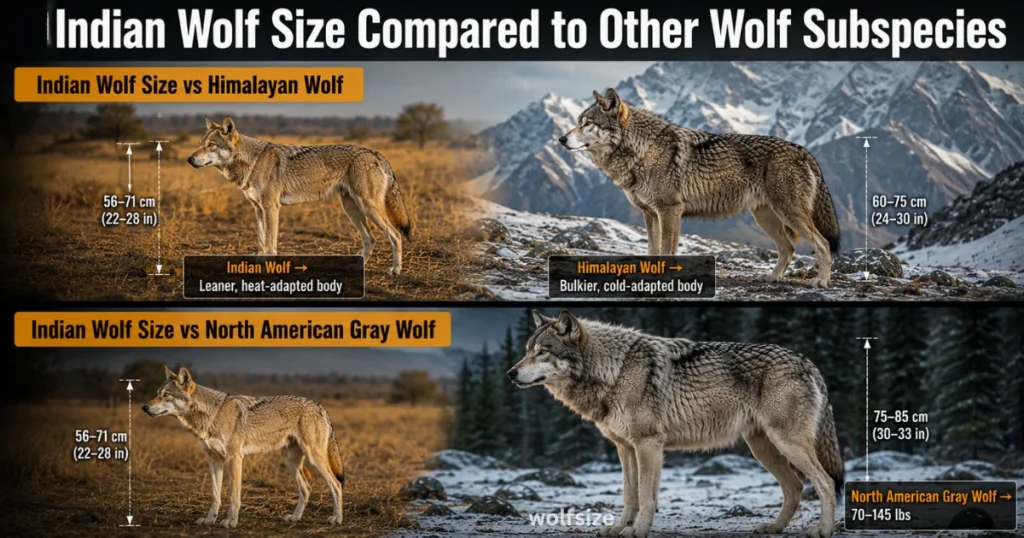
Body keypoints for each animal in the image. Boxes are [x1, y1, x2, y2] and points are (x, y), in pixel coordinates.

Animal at [142, 365, 345, 528]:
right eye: (157, 393)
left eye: (166, 395)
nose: (144, 407)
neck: (212, 415)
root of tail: (319, 406)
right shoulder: (214, 459)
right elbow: (215, 495)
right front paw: (209, 520)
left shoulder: (234, 458)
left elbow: (233, 495)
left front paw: (231, 521)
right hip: (290, 461)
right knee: (306, 488)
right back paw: (295, 518)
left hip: (313, 458)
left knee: (336, 484)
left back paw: (336, 519)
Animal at [188, 116, 413, 275]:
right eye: (200, 143)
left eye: (211, 145)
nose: (190, 159)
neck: (251, 161)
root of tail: (375, 153)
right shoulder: (258, 209)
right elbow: (261, 242)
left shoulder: (271, 208)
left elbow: (270, 244)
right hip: (352, 209)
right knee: (370, 238)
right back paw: (359, 267)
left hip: (367, 207)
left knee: (395, 234)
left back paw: (396, 269)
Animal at [508, 310, 843, 538]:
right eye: (527, 351)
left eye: (543, 352)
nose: (511, 373)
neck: (614, 371)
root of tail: (807, 362)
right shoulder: (625, 447)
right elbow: (629, 495)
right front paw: (619, 528)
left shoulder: (648, 444)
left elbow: (645, 496)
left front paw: (637, 531)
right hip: (763, 448)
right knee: (796, 487)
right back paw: (773, 527)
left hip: (785, 443)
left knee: (825, 482)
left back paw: (823, 530)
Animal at [559, 88, 841, 288]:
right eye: (578, 122)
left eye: (587, 124)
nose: (561, 139)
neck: (642, 150)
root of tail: (803, 150)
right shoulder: (649, 214)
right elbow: (652, 250)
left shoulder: (669, 211)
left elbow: (665, 251)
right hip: (766, 218)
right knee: (788, 249)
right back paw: (771, 278)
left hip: (788, 214)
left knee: (823, 244)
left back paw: (821, 282)